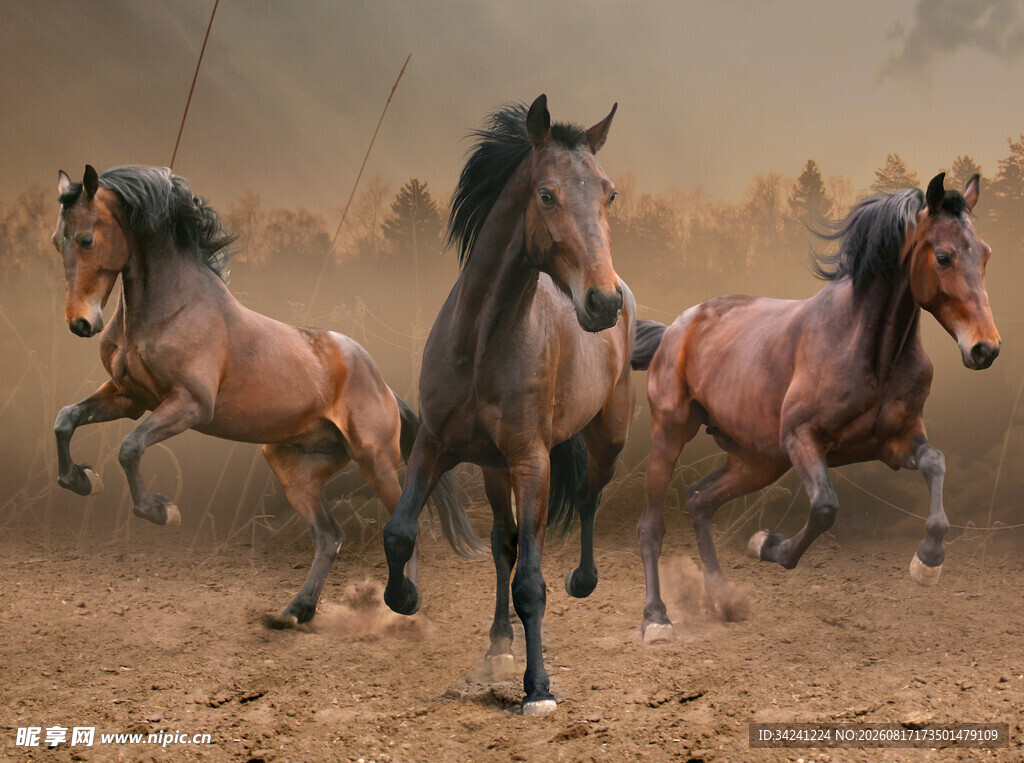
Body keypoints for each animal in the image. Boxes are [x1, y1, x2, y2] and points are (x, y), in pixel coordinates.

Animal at [50, 164, 484, 626]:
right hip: (293, 466)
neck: (173, 308)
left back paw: (404, 601)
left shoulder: (189, 405)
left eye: (86, 239)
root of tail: (383, 385)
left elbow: (130, 448)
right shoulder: (130, 398)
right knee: (329, 536)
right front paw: (82, 480)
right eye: (57, 240)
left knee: (402, 525)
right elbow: (66, 419)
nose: (81, 323)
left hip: (375, 459)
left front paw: (162, 511)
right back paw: (297, 611)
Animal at [379, 95, 634, 715]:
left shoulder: (531, 461)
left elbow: (532, 584)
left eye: (609, 193)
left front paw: (537, 688)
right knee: (503, 542)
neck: (482, 344)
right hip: (493, 469)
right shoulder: (435, 444)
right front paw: (405, 597)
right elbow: (401, 531)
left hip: (607, 438)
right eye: (546, 193)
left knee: (588, 497)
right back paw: (497, 644)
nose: (603, 301)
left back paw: (582, 581)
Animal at [631, 173, 1000, 642]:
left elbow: (936, 463)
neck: (868, 350)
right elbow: (825, 508)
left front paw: (927, 562)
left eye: (985, 253)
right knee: (651, 525)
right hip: (672, 432)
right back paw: (656, 619)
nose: (985, 348)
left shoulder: (896, 443)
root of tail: (675, 329)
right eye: (944, 256)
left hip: (758, 460)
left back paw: (722, 599)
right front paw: (768, 544)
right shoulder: (802, 438)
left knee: (699, 501)